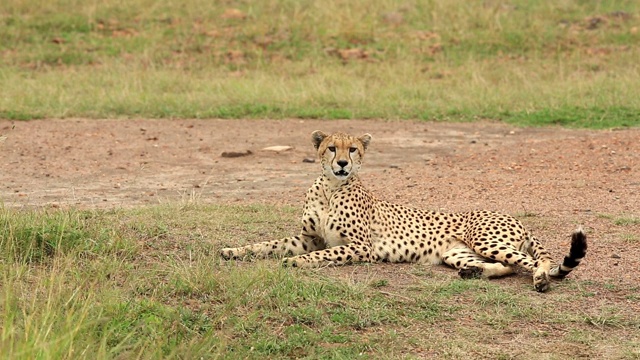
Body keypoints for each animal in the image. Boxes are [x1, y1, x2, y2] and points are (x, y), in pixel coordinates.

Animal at [222, 131, 588, 292]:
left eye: (352, 149)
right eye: (331, 148)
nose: (342, 164)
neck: (330, 187)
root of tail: (514, 218)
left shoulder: (360, 247)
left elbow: (316, 255)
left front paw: (295, 263)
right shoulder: (309, 237)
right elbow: (268, 244)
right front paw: (232, 251)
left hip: (487, 239)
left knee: (532, 261)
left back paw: (541, 279)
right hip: (457, 253)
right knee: (506, 266)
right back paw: (473, 273)